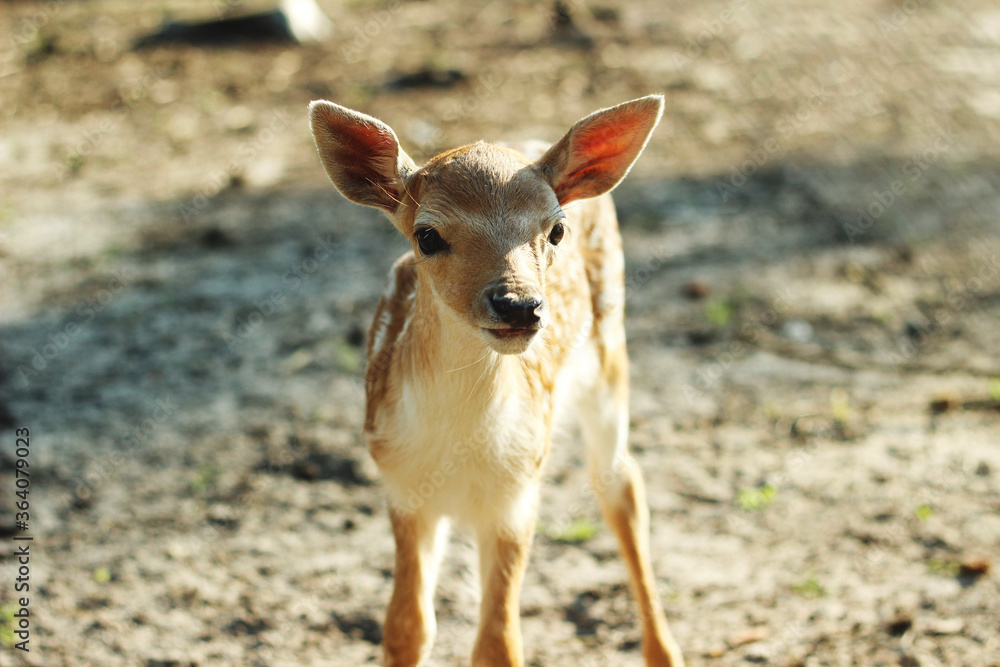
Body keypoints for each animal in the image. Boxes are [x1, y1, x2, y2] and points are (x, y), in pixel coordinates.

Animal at [309, 95, 684, 667]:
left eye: (555, 231)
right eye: (427, 235)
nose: (518, 305)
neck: (463, 446)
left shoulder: (518, 493)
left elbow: (498, 644)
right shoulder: (401, 483)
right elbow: (406, 627)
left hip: (611, 355)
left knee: (621, 487)